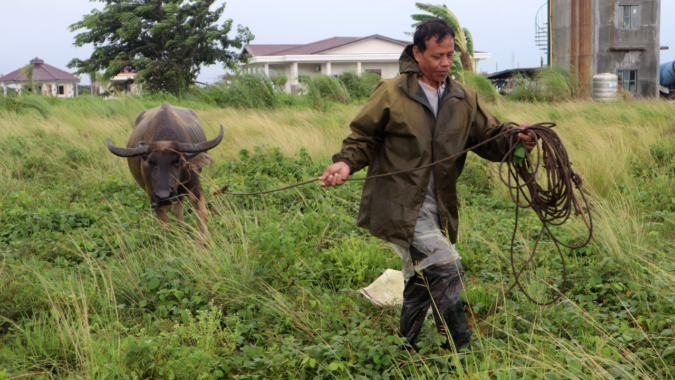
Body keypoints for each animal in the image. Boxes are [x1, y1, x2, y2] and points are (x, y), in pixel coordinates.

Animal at [105, 102, 222, 240]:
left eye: (177, 161)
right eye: (150, 162)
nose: (164, 196)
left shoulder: (194, 186)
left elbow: (202, 214)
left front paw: (204, 242)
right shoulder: (153, 195)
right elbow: (166, 223)